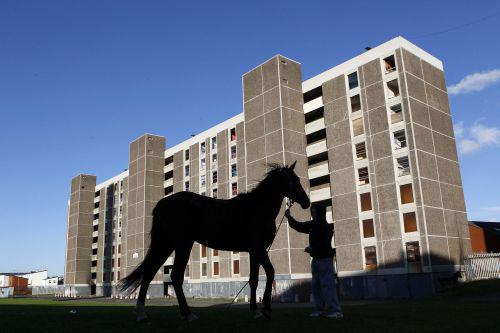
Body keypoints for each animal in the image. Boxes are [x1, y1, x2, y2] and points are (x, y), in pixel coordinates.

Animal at [119, 162, 310, 320]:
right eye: (292, 181)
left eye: (297, 179)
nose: (306, 202)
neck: (258, 208)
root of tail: (162, 204)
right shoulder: (259, 249)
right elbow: (270, 273)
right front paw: (266, 310)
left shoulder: (254, 252)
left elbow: (254, 280)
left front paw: (255, 311)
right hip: (177, 244)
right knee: (169, 275)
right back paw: (178, 314)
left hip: (171, 244)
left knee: (155, 274)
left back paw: (152, 313)